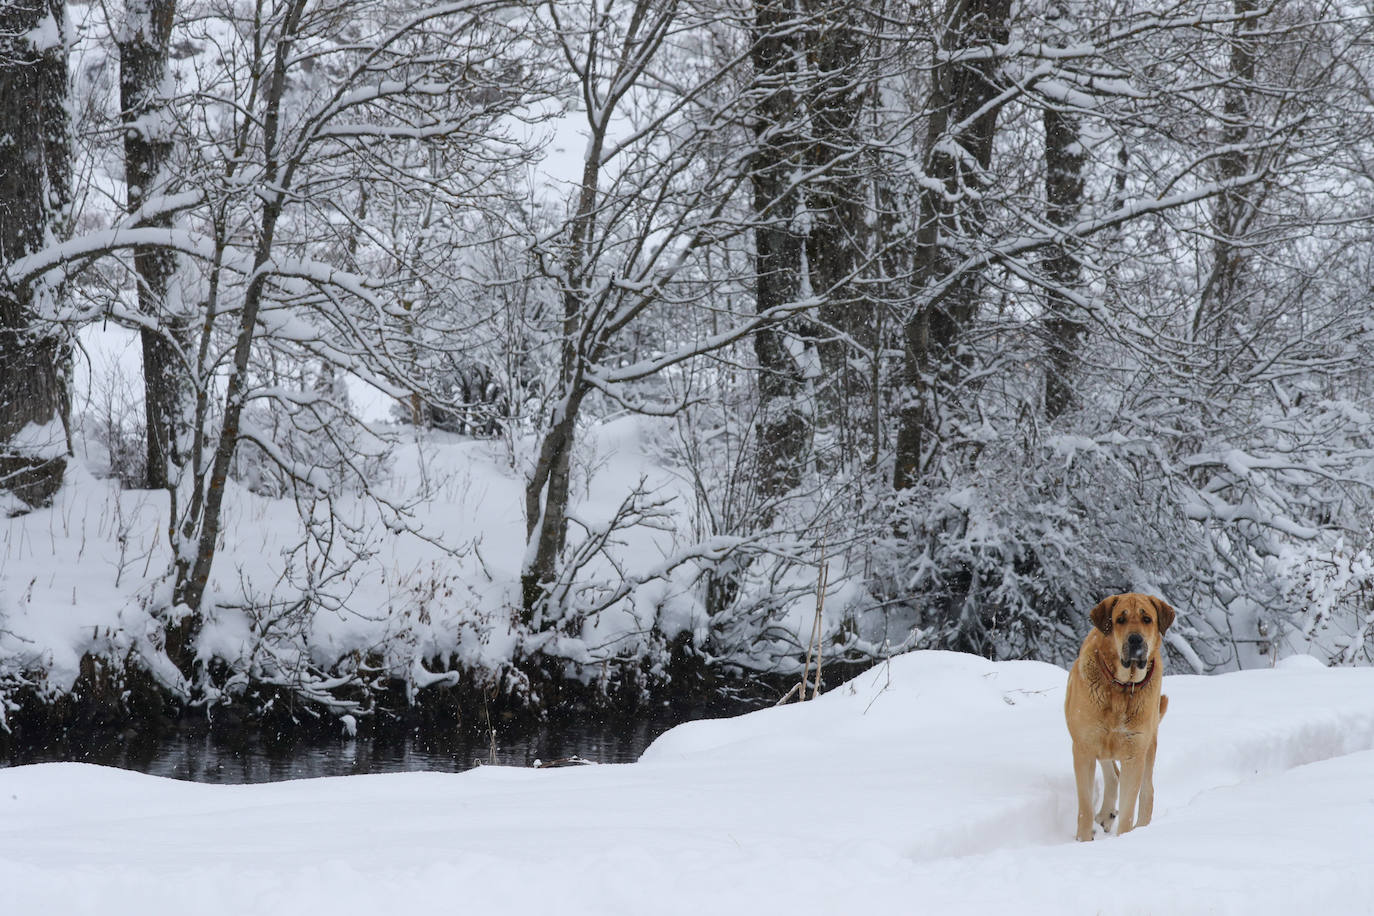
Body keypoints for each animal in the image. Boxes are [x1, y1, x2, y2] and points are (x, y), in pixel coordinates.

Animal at [1060, 590, 1170, 840]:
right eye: (1120, 619)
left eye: (1147, 619)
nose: (1135, 639)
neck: (1122, 686)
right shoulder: (1084, 747)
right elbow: (1085, 806)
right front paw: (1084, 838)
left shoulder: (1134, 752)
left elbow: (1129, 807)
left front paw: (1123, 839)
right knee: (1111, 773)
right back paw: (1105, 813)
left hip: (1148, 747)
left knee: (1147, 791)